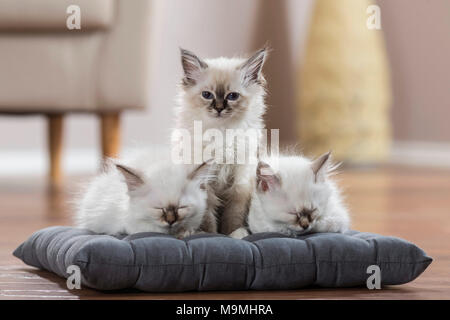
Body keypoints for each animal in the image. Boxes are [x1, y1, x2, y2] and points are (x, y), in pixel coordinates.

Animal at [172, 47, 268, 235]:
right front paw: (210, 234)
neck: (222, 132)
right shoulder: (204, 179)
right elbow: (208, 213)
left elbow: (234, 212)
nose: (218, 108)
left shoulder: (241, 178)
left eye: (232, 96)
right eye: (207, 95)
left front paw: (234, 233)